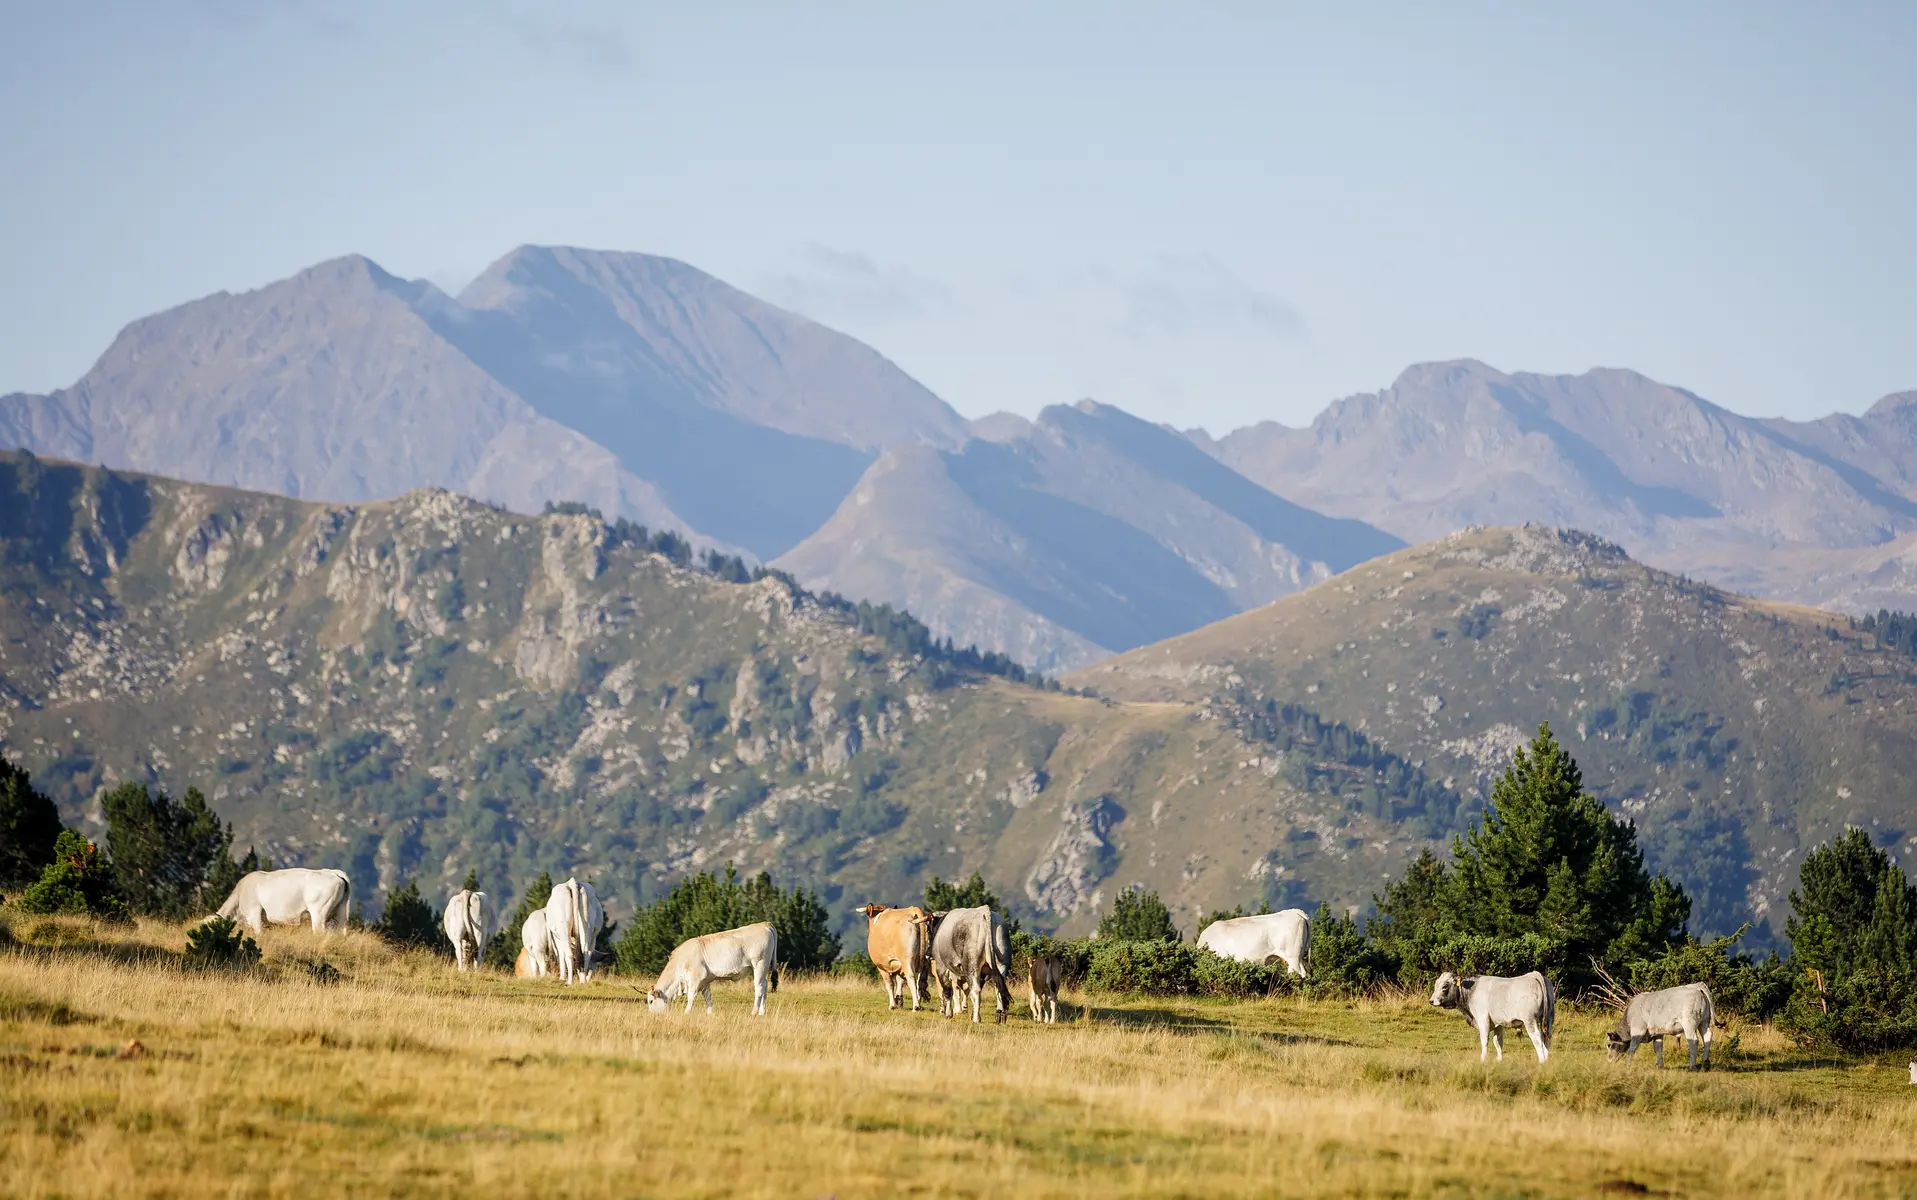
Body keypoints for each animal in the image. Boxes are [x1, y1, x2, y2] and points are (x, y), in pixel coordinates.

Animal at [216, 868, 352, 934]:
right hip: (340, 911)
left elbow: (259, 933)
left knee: (319, 931)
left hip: (319, 912)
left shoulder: (254, 912)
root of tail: (334, 873)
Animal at [647, 923, 779, 1015]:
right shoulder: (705, 981)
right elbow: (708, 997)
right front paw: (710, 1013)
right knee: (765, 985)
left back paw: (754, 1011)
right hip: (762, 969)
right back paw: (762, 1012)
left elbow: (691, 996)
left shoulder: (695, 979)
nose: (651, 1015)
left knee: (759, 987)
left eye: (651, 1001)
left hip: (759, 964)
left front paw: (687, 1012)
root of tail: (763, 924)